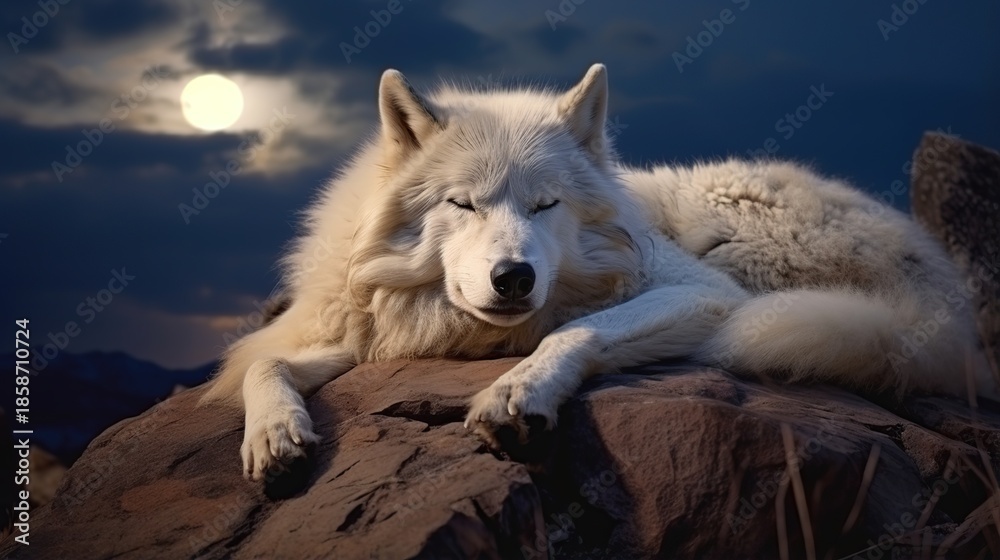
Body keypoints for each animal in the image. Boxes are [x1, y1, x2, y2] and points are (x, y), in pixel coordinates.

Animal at [201, 64, 995, 480]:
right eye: (463, 203)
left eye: (545, 203)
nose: (514, 278)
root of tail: (945, 302)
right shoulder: (359, 334)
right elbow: (260, 363)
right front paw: (274, 436)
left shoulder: (701, 293)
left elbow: (574, 333)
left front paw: (517, 396)